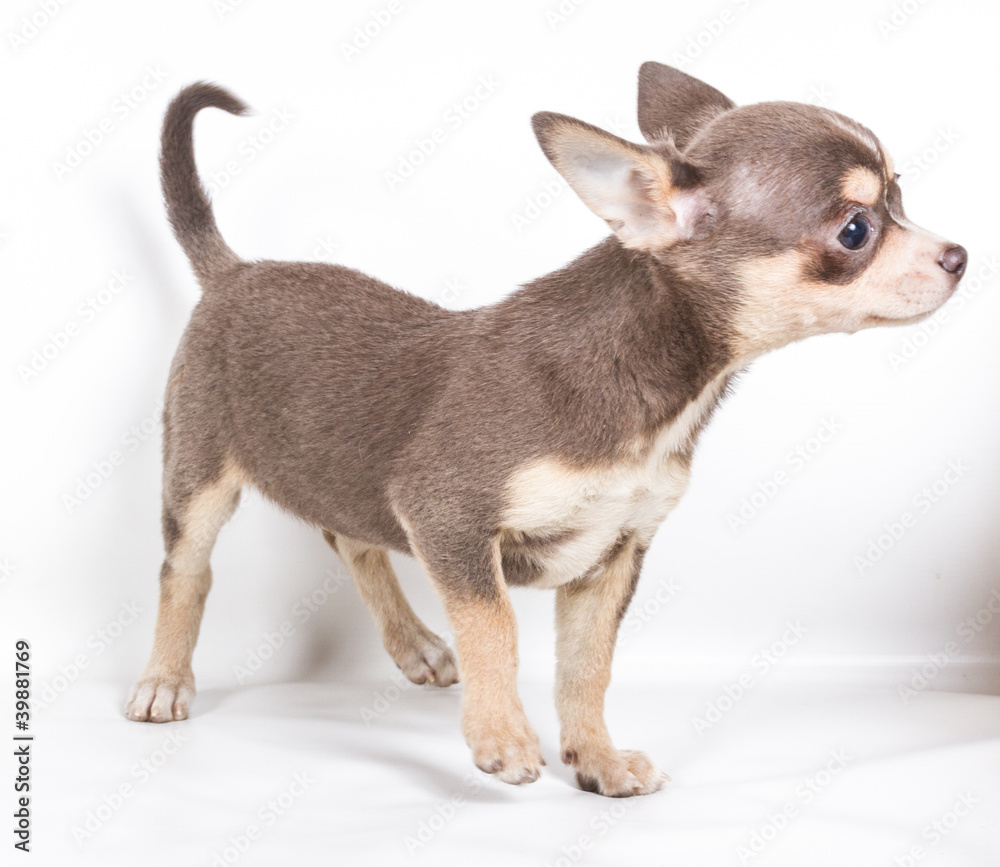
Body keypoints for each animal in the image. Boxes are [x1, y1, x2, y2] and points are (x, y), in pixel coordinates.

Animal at [129, 64, 964, 796]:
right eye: (855, 230)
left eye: (901, 194)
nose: (959, 255)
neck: (661, 392)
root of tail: (233, 271)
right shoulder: (449, 515)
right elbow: (496, 626)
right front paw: (501, 736)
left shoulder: (614, 555)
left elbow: (586, 667)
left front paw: (596, 758)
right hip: (199, 476)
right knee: (185, 571)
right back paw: (165, 679)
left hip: (337, 472)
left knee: (352, 537)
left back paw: (415, 644)